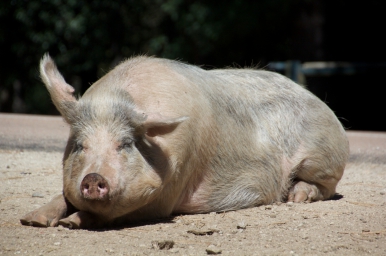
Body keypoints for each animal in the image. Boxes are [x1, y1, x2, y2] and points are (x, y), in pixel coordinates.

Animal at [19, 53, 348, 228]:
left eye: (125, 144)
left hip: (322, 156)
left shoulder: (165, 197)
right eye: (79, 145)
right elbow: (64, 195)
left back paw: (296, 197)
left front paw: (69, 223)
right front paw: (33, 220)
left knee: (324, 187)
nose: (93, 178)